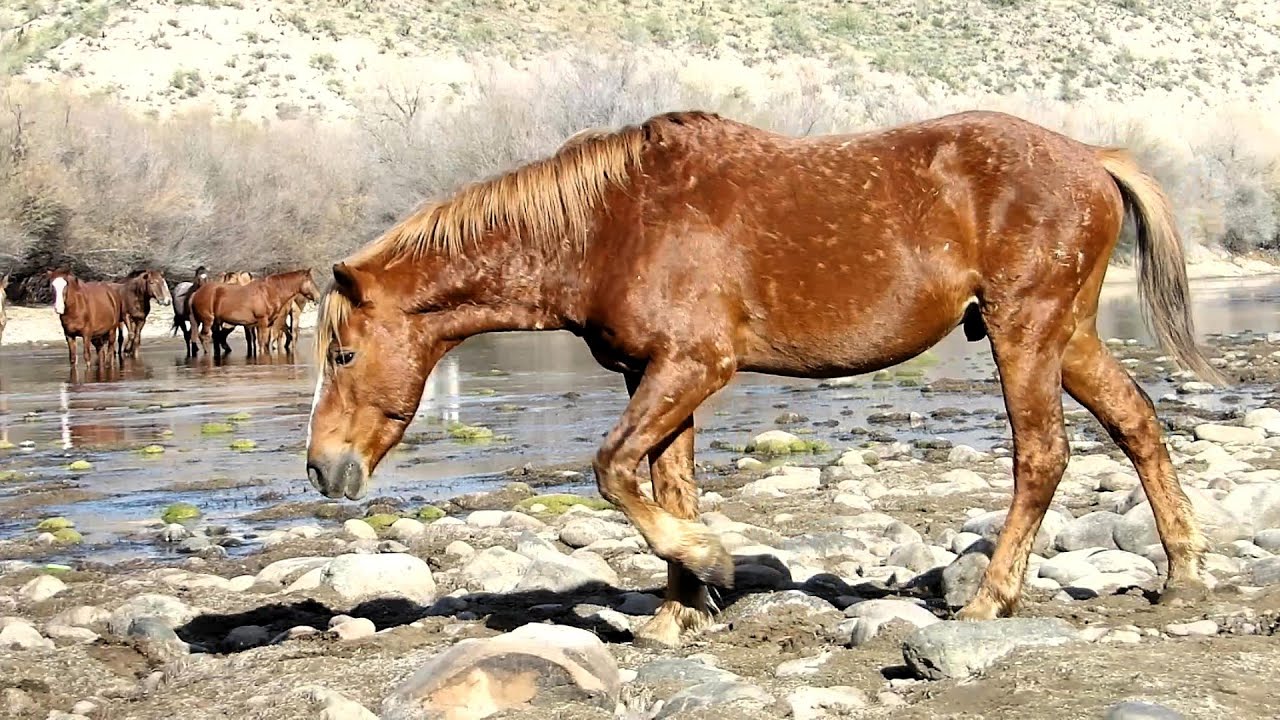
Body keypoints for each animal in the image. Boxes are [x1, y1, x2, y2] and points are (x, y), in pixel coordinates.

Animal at [190, 269, 320, 358]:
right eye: (310, 281)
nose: (318, 297)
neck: (268, 292)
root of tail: (196, 293)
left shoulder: (268, 324)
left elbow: (265, 343)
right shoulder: (262, 323)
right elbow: (261, 343)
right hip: (208, 320)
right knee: (204, 336)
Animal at [304, 109, 1225, 647]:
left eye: (342, 354)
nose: (323, 469)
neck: (609, 226)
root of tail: (1092, 158)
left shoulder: (693, 368)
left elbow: (614, 472)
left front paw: (710, 564)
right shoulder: (656, 376)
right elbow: (663, 483)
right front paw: (680, 608)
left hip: (1024, 333)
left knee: (1042, 457)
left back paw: (991, 601)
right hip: (1068, 337)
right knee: (1139, 423)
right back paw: (1183, 573)